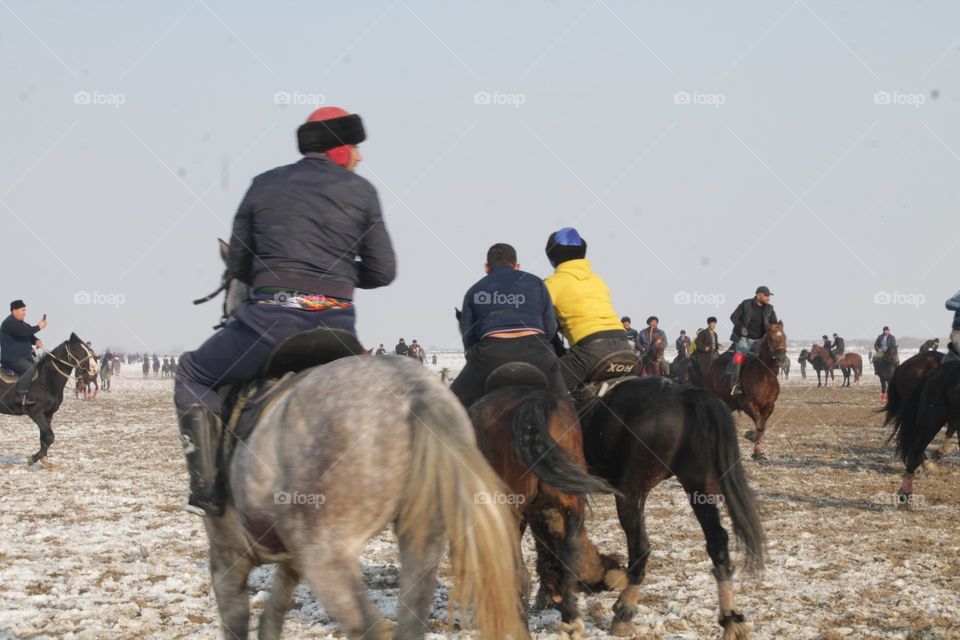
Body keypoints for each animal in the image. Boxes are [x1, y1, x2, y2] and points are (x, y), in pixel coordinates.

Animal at [0, 336, 96, 464]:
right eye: (79, 350)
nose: (94, 369)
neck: (46, 378)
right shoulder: (36, 413)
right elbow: (50, 436)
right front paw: (33, 458)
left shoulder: (48, 414)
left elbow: (44, 437)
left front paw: (44, 459)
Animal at [576, 378, 764, 636]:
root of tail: (683, 394)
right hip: (697, 485)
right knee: (717, 542)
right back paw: (731, 618)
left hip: (631, 492)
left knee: (640, 546)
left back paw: (624, 611)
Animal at [696, 320, 788, 460]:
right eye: (771, 338)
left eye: (784, 337)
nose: (782, 358)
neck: (765, 377)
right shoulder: (747, 405)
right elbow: (759, 425)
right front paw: (749, 435)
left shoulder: (769, 406)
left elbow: (761, 426)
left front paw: (757, 453)